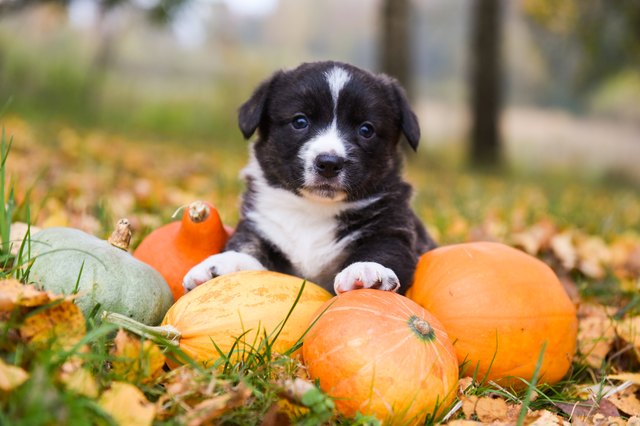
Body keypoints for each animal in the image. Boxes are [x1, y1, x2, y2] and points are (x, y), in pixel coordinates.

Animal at [182, 60, 438, 294]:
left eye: (366, 129)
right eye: (300, 121)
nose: (329, 164)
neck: (313, 209)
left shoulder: (394, 229)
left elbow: (383, 249)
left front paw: (366, 269)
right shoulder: (258, 225)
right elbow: (248, 246)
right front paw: (221, 264)